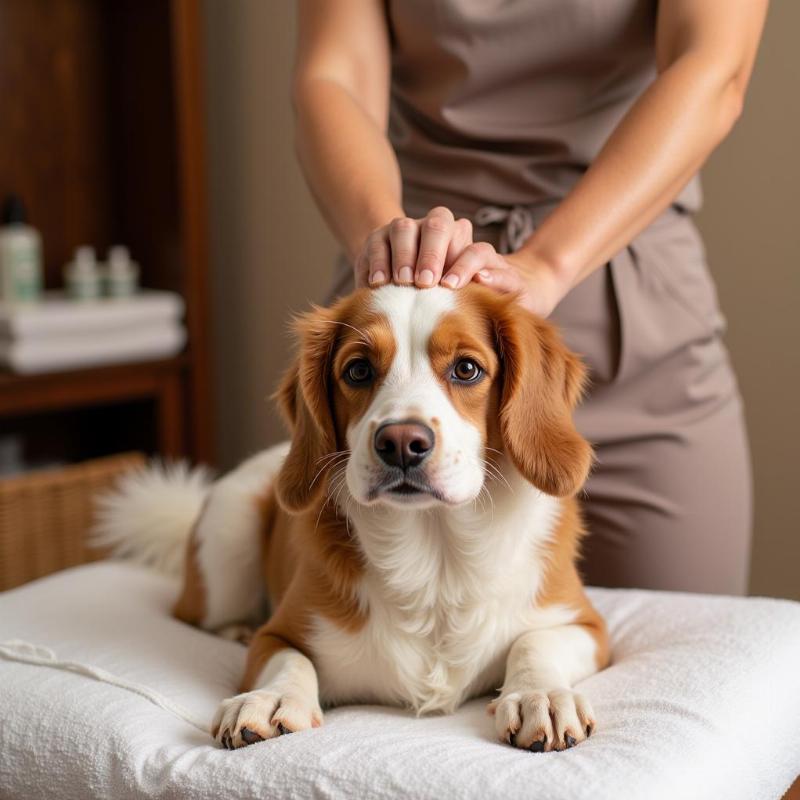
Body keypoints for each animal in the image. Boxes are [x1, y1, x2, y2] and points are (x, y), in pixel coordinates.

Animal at [95, 284, 608, 752]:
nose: (401, 443)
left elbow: (534, 642)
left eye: (466, 368)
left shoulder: (589, 627)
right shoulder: (277, 633)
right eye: (358, 370)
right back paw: (236, 630)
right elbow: (290, 659)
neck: (435, 558)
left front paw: (540, 695)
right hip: (228, 537)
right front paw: (271, 697)